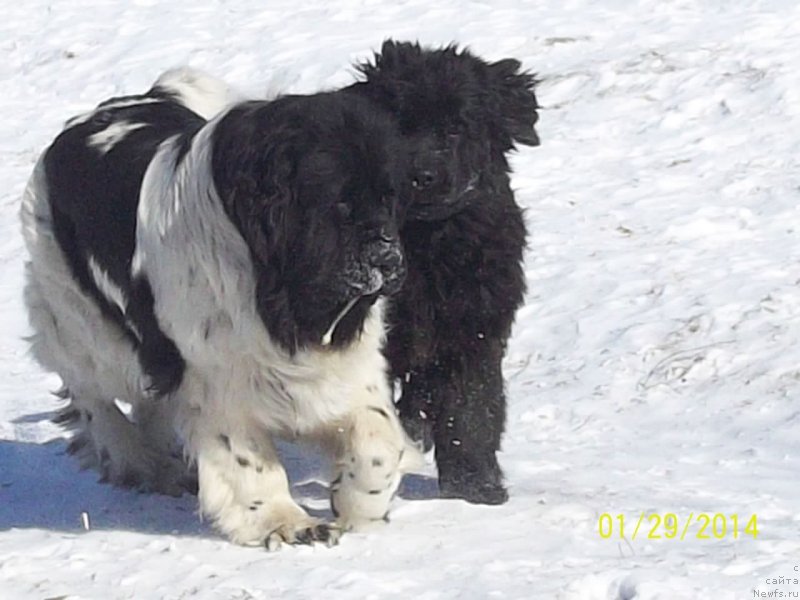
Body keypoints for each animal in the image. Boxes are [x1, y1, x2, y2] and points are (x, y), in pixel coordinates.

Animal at [20, 68, 418, 548]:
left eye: (390, 197)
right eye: (340, 203)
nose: (390, 258)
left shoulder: (345, 367)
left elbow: (376, 440)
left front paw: (359, 508)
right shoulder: (218, 381)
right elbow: (248, 461)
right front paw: (286, 523)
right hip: (85, 326)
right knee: (91, 390)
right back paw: (138, 461)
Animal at [346, 39, 540, 504]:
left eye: (456, 127)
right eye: (399, 124)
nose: (422, 176)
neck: (430, 244)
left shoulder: (475, 331)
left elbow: (471, 410)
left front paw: (475, 483)